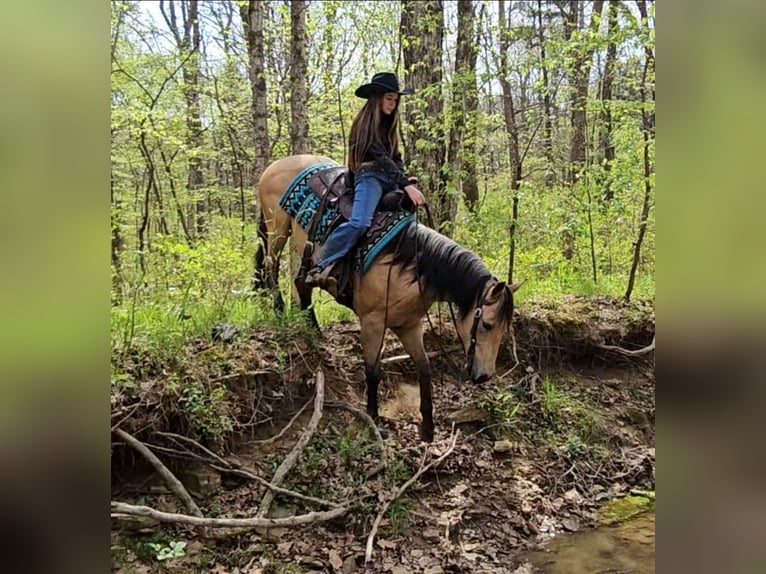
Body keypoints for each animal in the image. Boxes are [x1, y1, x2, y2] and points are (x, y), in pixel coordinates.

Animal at [257, 154, 520, 442]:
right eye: (487, 325)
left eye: (505, 330)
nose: (484, 376)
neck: (411, 265)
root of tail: (276, 165)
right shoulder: (372, 322)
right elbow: (373, 370)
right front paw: (374, 417)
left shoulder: (409, 326)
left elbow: (424, 369)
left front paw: (427, 426)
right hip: (277, 228)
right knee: (270, 266)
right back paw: (280, 310)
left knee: (300, 285)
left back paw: (314, 330)